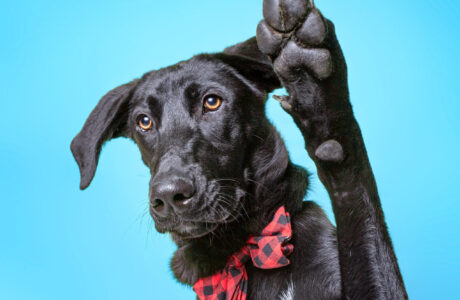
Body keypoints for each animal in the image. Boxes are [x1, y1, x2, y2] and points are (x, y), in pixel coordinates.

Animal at [71, 1, 406, 298]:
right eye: (144, 121)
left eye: (212, 102)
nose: (168, 195)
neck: (239, 251)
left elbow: (360, 211)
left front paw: (317, 96)